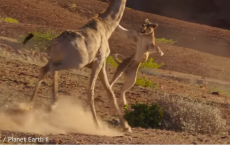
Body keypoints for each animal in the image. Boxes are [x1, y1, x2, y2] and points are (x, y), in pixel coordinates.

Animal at [23, 0, 132, 133]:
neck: (107, 27)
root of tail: (56, 42)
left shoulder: (101, 63)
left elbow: (110, 92)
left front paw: (126, 127)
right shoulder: (99, 60)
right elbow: (91, 90)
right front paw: (97, 125)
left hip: (56, 58)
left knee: (47, 69)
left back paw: (35, 105)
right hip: (75, 62)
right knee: (49, 69)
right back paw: (44, 106)